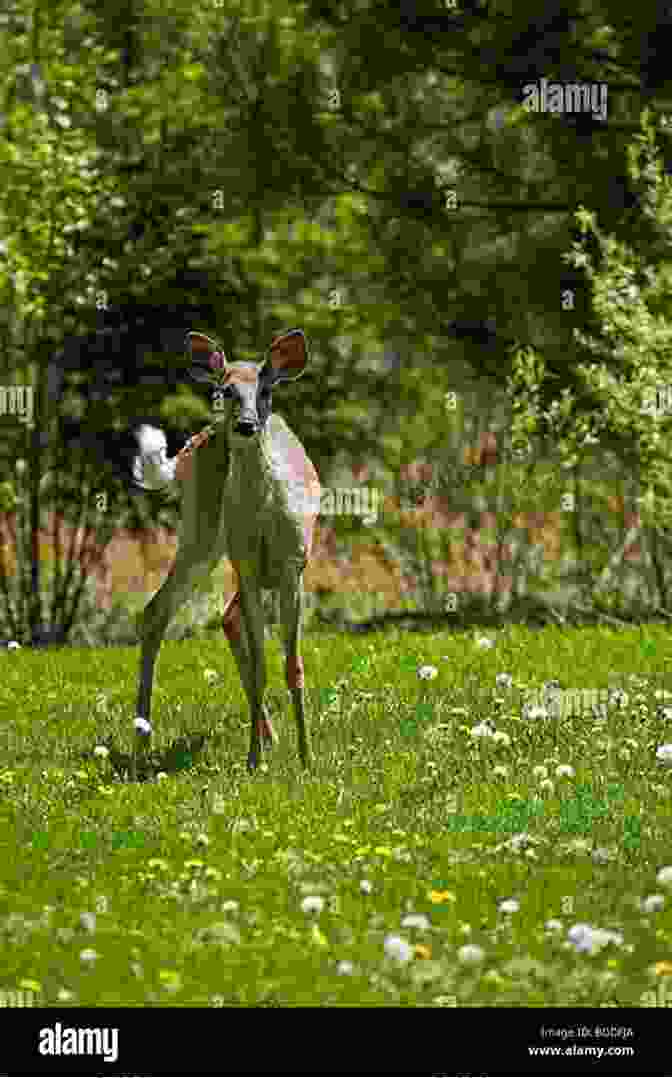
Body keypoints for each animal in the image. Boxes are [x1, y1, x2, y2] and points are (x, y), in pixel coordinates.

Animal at [132, 327, 321, 776]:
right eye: (225, 390)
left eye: (266, 390)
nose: (247, 424)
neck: (267, 512)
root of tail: (196, 442)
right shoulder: (249, 564)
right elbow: (264, 662)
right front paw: (254, 761)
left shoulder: (292, 566)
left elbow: (293, 665)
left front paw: (306, 758)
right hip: (204, 533)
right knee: (159, 611)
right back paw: (141, 742)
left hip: (220, 548)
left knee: (222, 614)